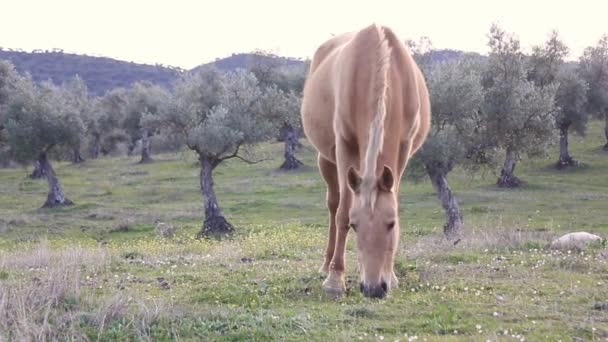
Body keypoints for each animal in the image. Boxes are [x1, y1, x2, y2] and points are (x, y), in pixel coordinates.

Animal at [302, 23, 430, 300]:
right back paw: (326, 264)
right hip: (325, 160)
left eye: (391, 224)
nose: (373, 288)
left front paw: (392, 277)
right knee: (333, 204)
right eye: (355, 225)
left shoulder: (403, 148)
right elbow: (341, 212)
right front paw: (335, 280)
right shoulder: (345, 145)